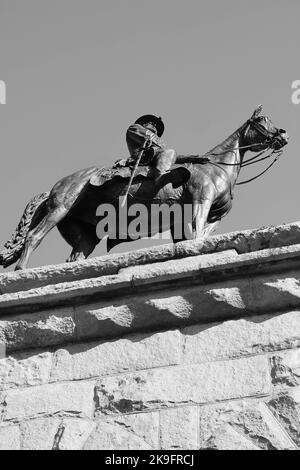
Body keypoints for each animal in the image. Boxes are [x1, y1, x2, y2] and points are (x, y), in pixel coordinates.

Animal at [0, 104, 288, 270]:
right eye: (262, 120)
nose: (282, 136)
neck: (218, 166)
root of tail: (53, 188)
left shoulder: (210, 218)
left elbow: (195, 238)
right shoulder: (200, 201)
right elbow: (195, 234)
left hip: (85, 234)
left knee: (75, 256)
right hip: (60, 207)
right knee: (33, 236)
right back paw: (22, 272)